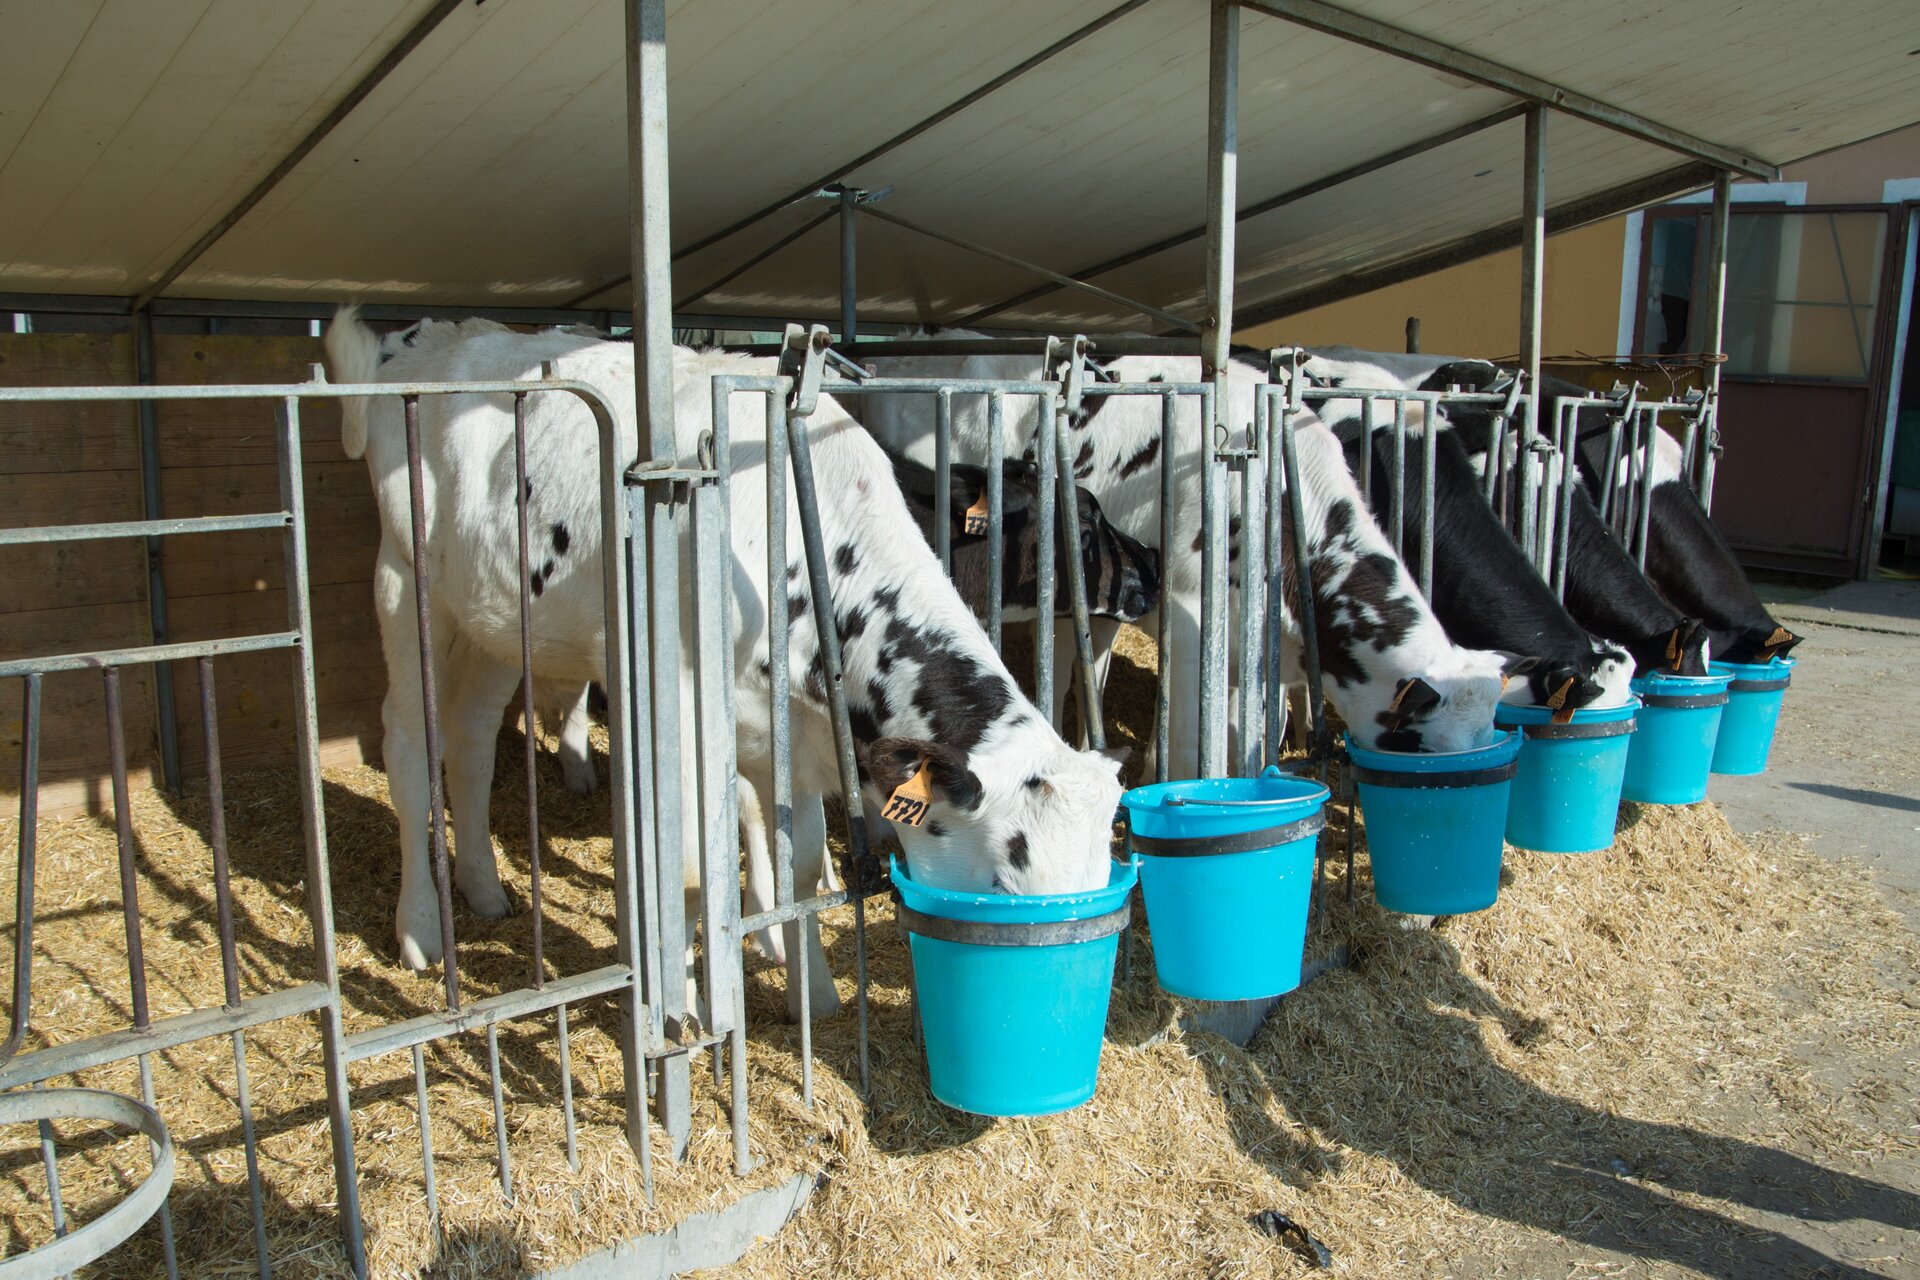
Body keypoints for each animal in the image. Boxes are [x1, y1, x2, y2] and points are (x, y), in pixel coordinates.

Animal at [326, 310, 1121, 990]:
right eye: (1005, 883)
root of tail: (432, 335)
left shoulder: (788, 729)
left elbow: (800, 866)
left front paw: (807, 987)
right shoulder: (680, 700)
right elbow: (688, 873)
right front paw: (682, 1004)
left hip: (495, 619)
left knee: (469, 739)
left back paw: (485, 890)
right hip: (405, 581)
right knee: (407, 741)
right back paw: (420, 929)